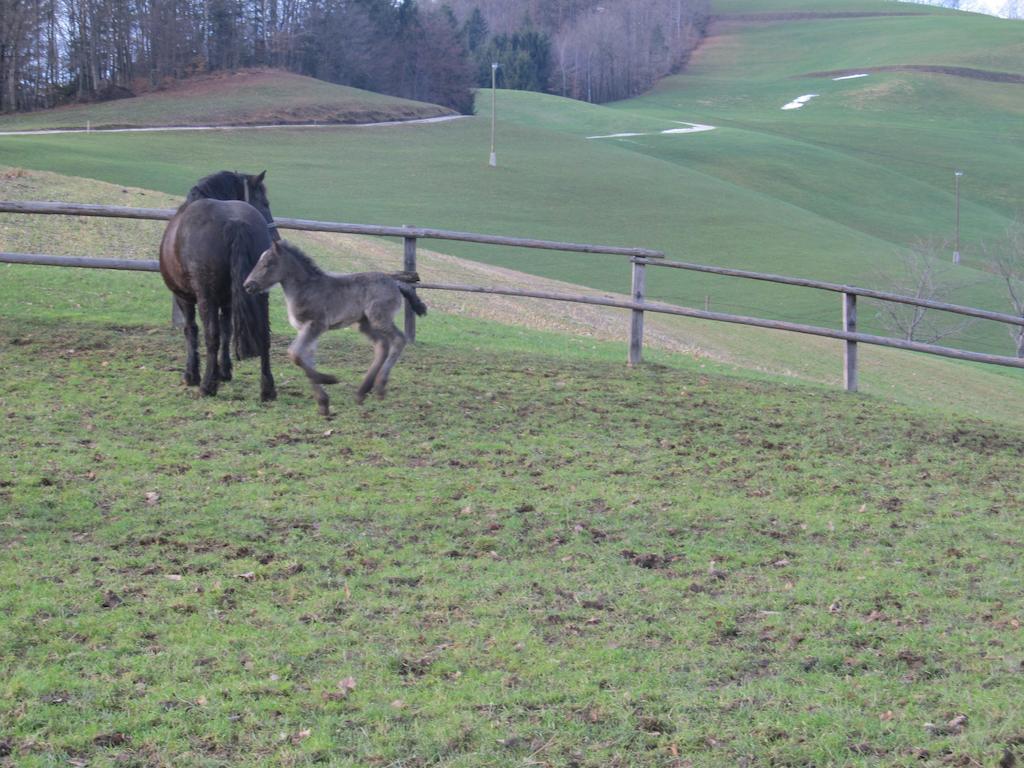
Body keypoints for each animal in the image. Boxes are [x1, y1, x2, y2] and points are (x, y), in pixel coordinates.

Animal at [156, 171, 278, 403]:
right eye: (265, 203)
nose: (277, 239)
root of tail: (234, 221)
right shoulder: (229, 301)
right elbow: (227, 331)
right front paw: (225, 371)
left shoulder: (184, 298)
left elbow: (192, 330)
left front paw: (192, 375)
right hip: (259, 296)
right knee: (264, 336)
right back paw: (268, 389)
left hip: (206, 298)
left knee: (210, 335)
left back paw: (206, 385)